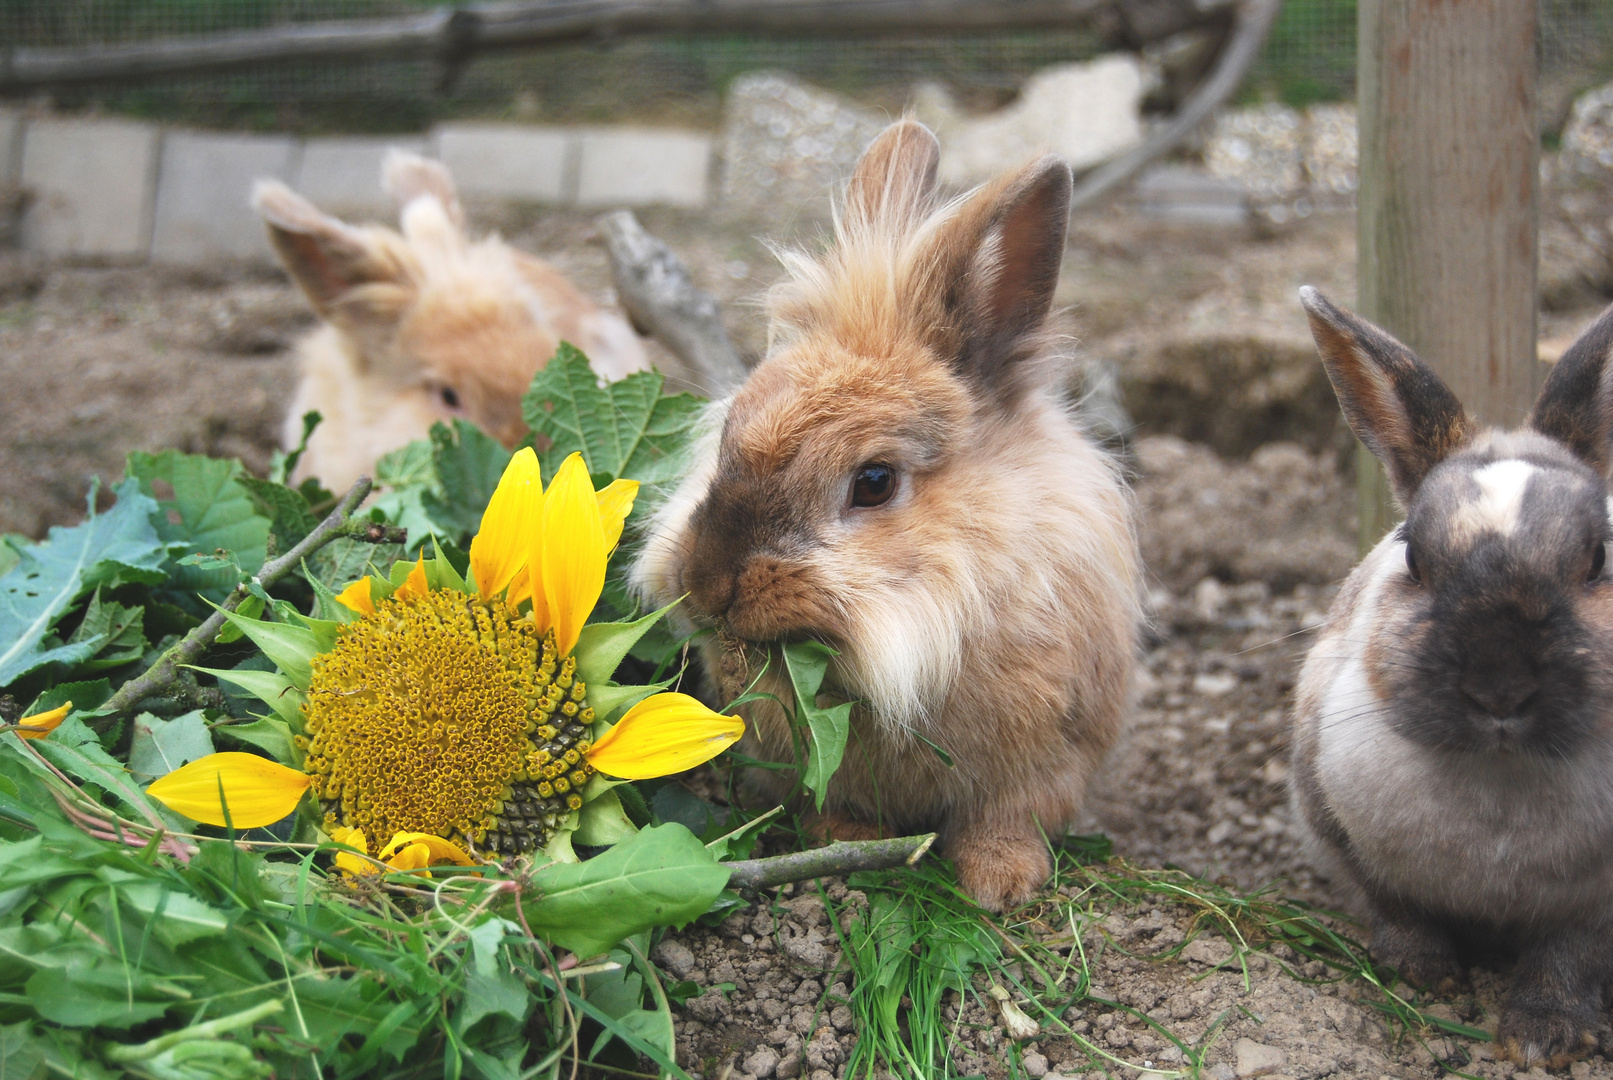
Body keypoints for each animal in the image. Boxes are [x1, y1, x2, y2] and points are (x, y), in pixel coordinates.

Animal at [622, 120, 1142, 915]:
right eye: (726, 436)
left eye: (873, 481)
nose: (708, 584)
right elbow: (838, 809)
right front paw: (844, 851)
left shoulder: (1043, 764)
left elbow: (1005, 820)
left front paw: (1000, 885)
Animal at [1290, 290, 1613, 1076]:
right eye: (1413, 555)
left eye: (1598, 558)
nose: (1500, 688)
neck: (1499, 779)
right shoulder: (1344, 838)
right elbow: (1397, 910)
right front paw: (1421, 975)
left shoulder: (1596, 909)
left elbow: (1570, 956)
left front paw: (1543, 1036)